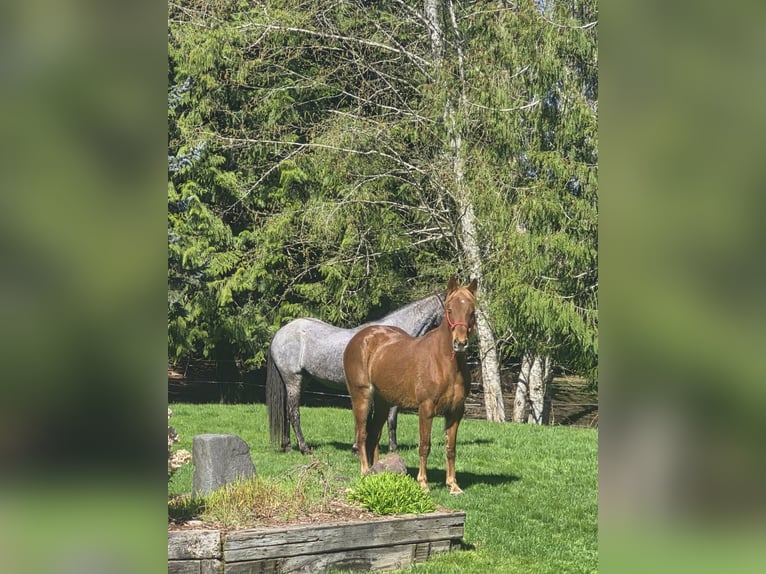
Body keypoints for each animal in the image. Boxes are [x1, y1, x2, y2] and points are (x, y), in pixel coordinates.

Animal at [266, 291, 445, 454]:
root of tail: (280, 332)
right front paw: (360, 449)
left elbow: (390, 420)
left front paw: (390, 449)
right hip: (293, 380)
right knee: (294, 412)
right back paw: (305, 448)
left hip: (302, 380)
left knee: (286, 412)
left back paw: (288, 446)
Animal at [343, 277, 477, 495]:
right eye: (449, 309)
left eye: (471, 311)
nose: (460, 343)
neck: (445, 363)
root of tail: (360, 337)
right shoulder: (426, 409)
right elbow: (424, 445)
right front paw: (423, 483)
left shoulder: (456, 411)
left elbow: (451, 448)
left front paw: (453, 485)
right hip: (361, 398)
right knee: (362, 435)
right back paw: (364, 472)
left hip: (383, 403)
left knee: (373, 437)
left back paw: (376, 473)